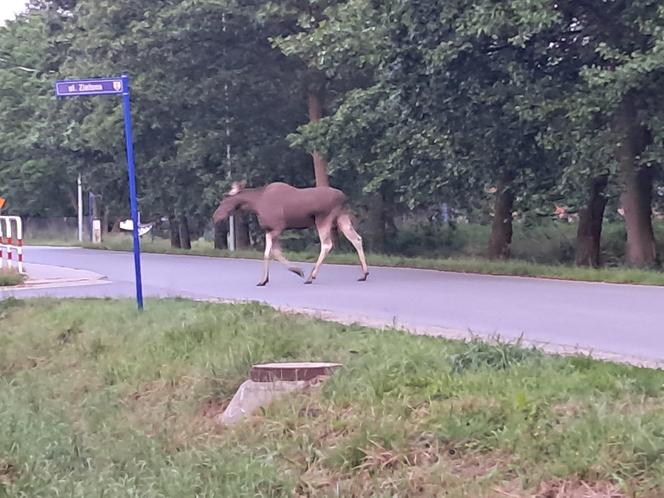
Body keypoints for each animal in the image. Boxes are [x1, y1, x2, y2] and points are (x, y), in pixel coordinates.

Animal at [213, 181, 368, 286]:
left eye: (223, 200)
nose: (215, 216)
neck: (255, 204)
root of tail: (344, 197)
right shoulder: (270, 230)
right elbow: (273, 253)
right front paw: (267, 279)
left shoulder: (277, 228)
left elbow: (269, 253)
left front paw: (295, 272)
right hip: (341, 216)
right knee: (357, 238)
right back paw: (364, 274)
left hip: (323, 218)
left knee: (327, 244)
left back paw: (311, 276)